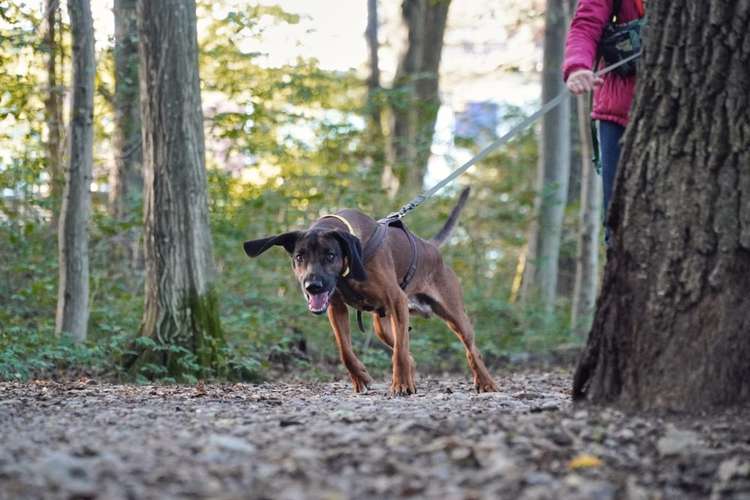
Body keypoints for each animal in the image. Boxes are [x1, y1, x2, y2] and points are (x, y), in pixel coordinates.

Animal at [242, 189, 500, 396]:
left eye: (330, 255)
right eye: (299, 257)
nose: (312, 286)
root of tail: (432, 248)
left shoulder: (397, 301)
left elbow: (399, 353)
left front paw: (401, 385)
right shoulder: (336, 308)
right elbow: (345, 351)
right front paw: (361, 378)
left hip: (453, 315)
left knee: (471, 349)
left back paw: (486, 382)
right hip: (382, 326)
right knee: (408, 352)